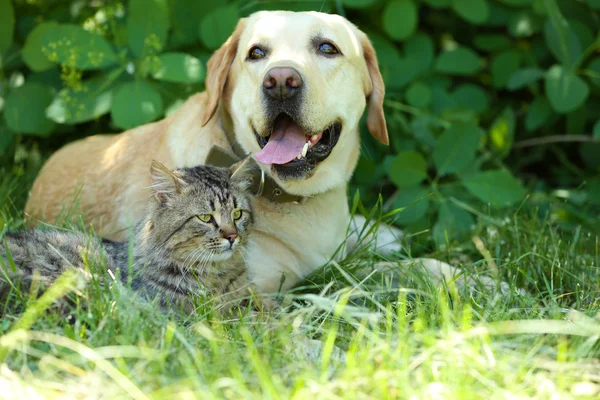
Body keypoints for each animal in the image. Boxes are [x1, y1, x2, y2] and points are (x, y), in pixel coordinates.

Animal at [25, 10, 500, 296]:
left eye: (327, 48)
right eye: (256, 53)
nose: (281, 81)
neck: (295, 200)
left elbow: (407, 263)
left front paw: (476, 277)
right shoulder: (272, 284)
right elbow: (368, 275)